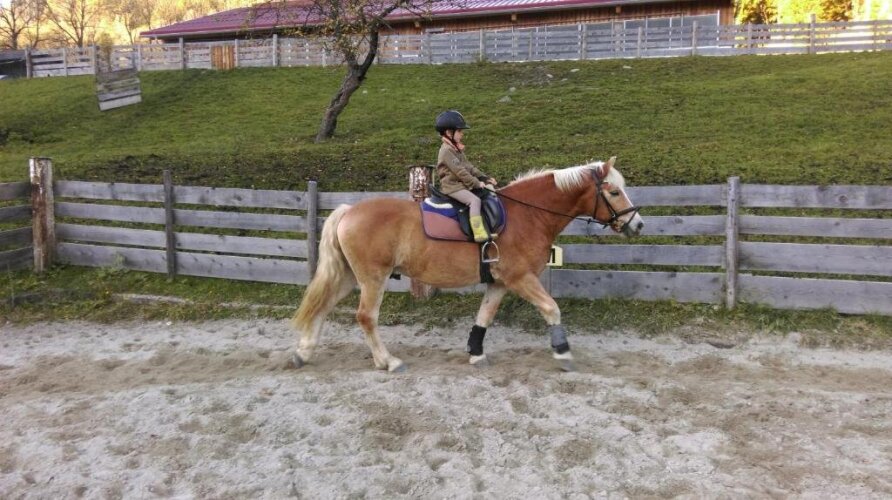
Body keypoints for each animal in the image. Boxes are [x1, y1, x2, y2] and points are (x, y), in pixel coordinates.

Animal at [291, 156, 643, 372]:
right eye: (614, 191)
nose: (637, 225)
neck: (527, 214)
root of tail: (348, 211)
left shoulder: (500, 282)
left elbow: (484, 316)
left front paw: (476, 353)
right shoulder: (520, 278)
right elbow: (551, 308)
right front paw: (563, 351)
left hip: (351, 277)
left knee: (323, 306)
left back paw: (304, 352)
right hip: (373, 278)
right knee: (366, 317)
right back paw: (388, 361)